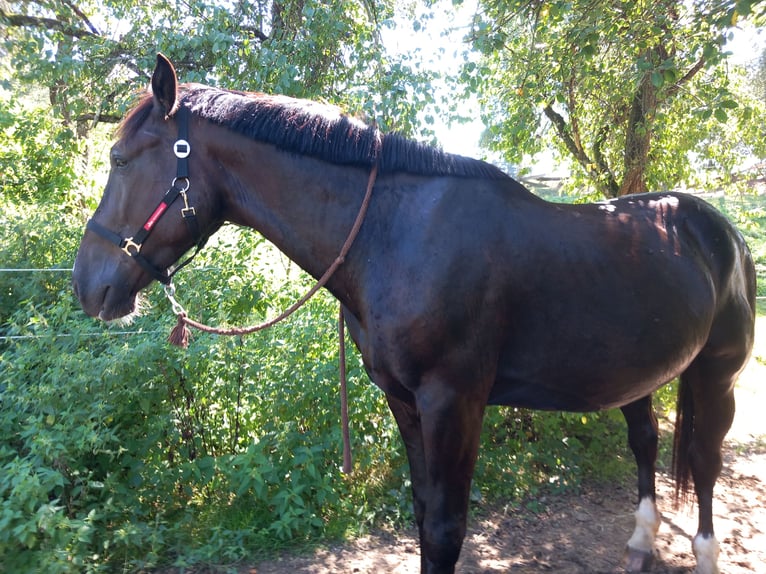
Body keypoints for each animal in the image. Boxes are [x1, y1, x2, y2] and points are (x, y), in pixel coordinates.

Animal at [72, 51, 756, 572]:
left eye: (120, 160)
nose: (87, 286)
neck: (393, 235)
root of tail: (722, 231)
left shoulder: (455, 402)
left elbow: (447, 528)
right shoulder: (404, 400)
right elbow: (424, 514)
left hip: (717, 375)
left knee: (704, 462)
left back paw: (705, 553)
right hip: (638, 373)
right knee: (646, 441)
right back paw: (641, 543)